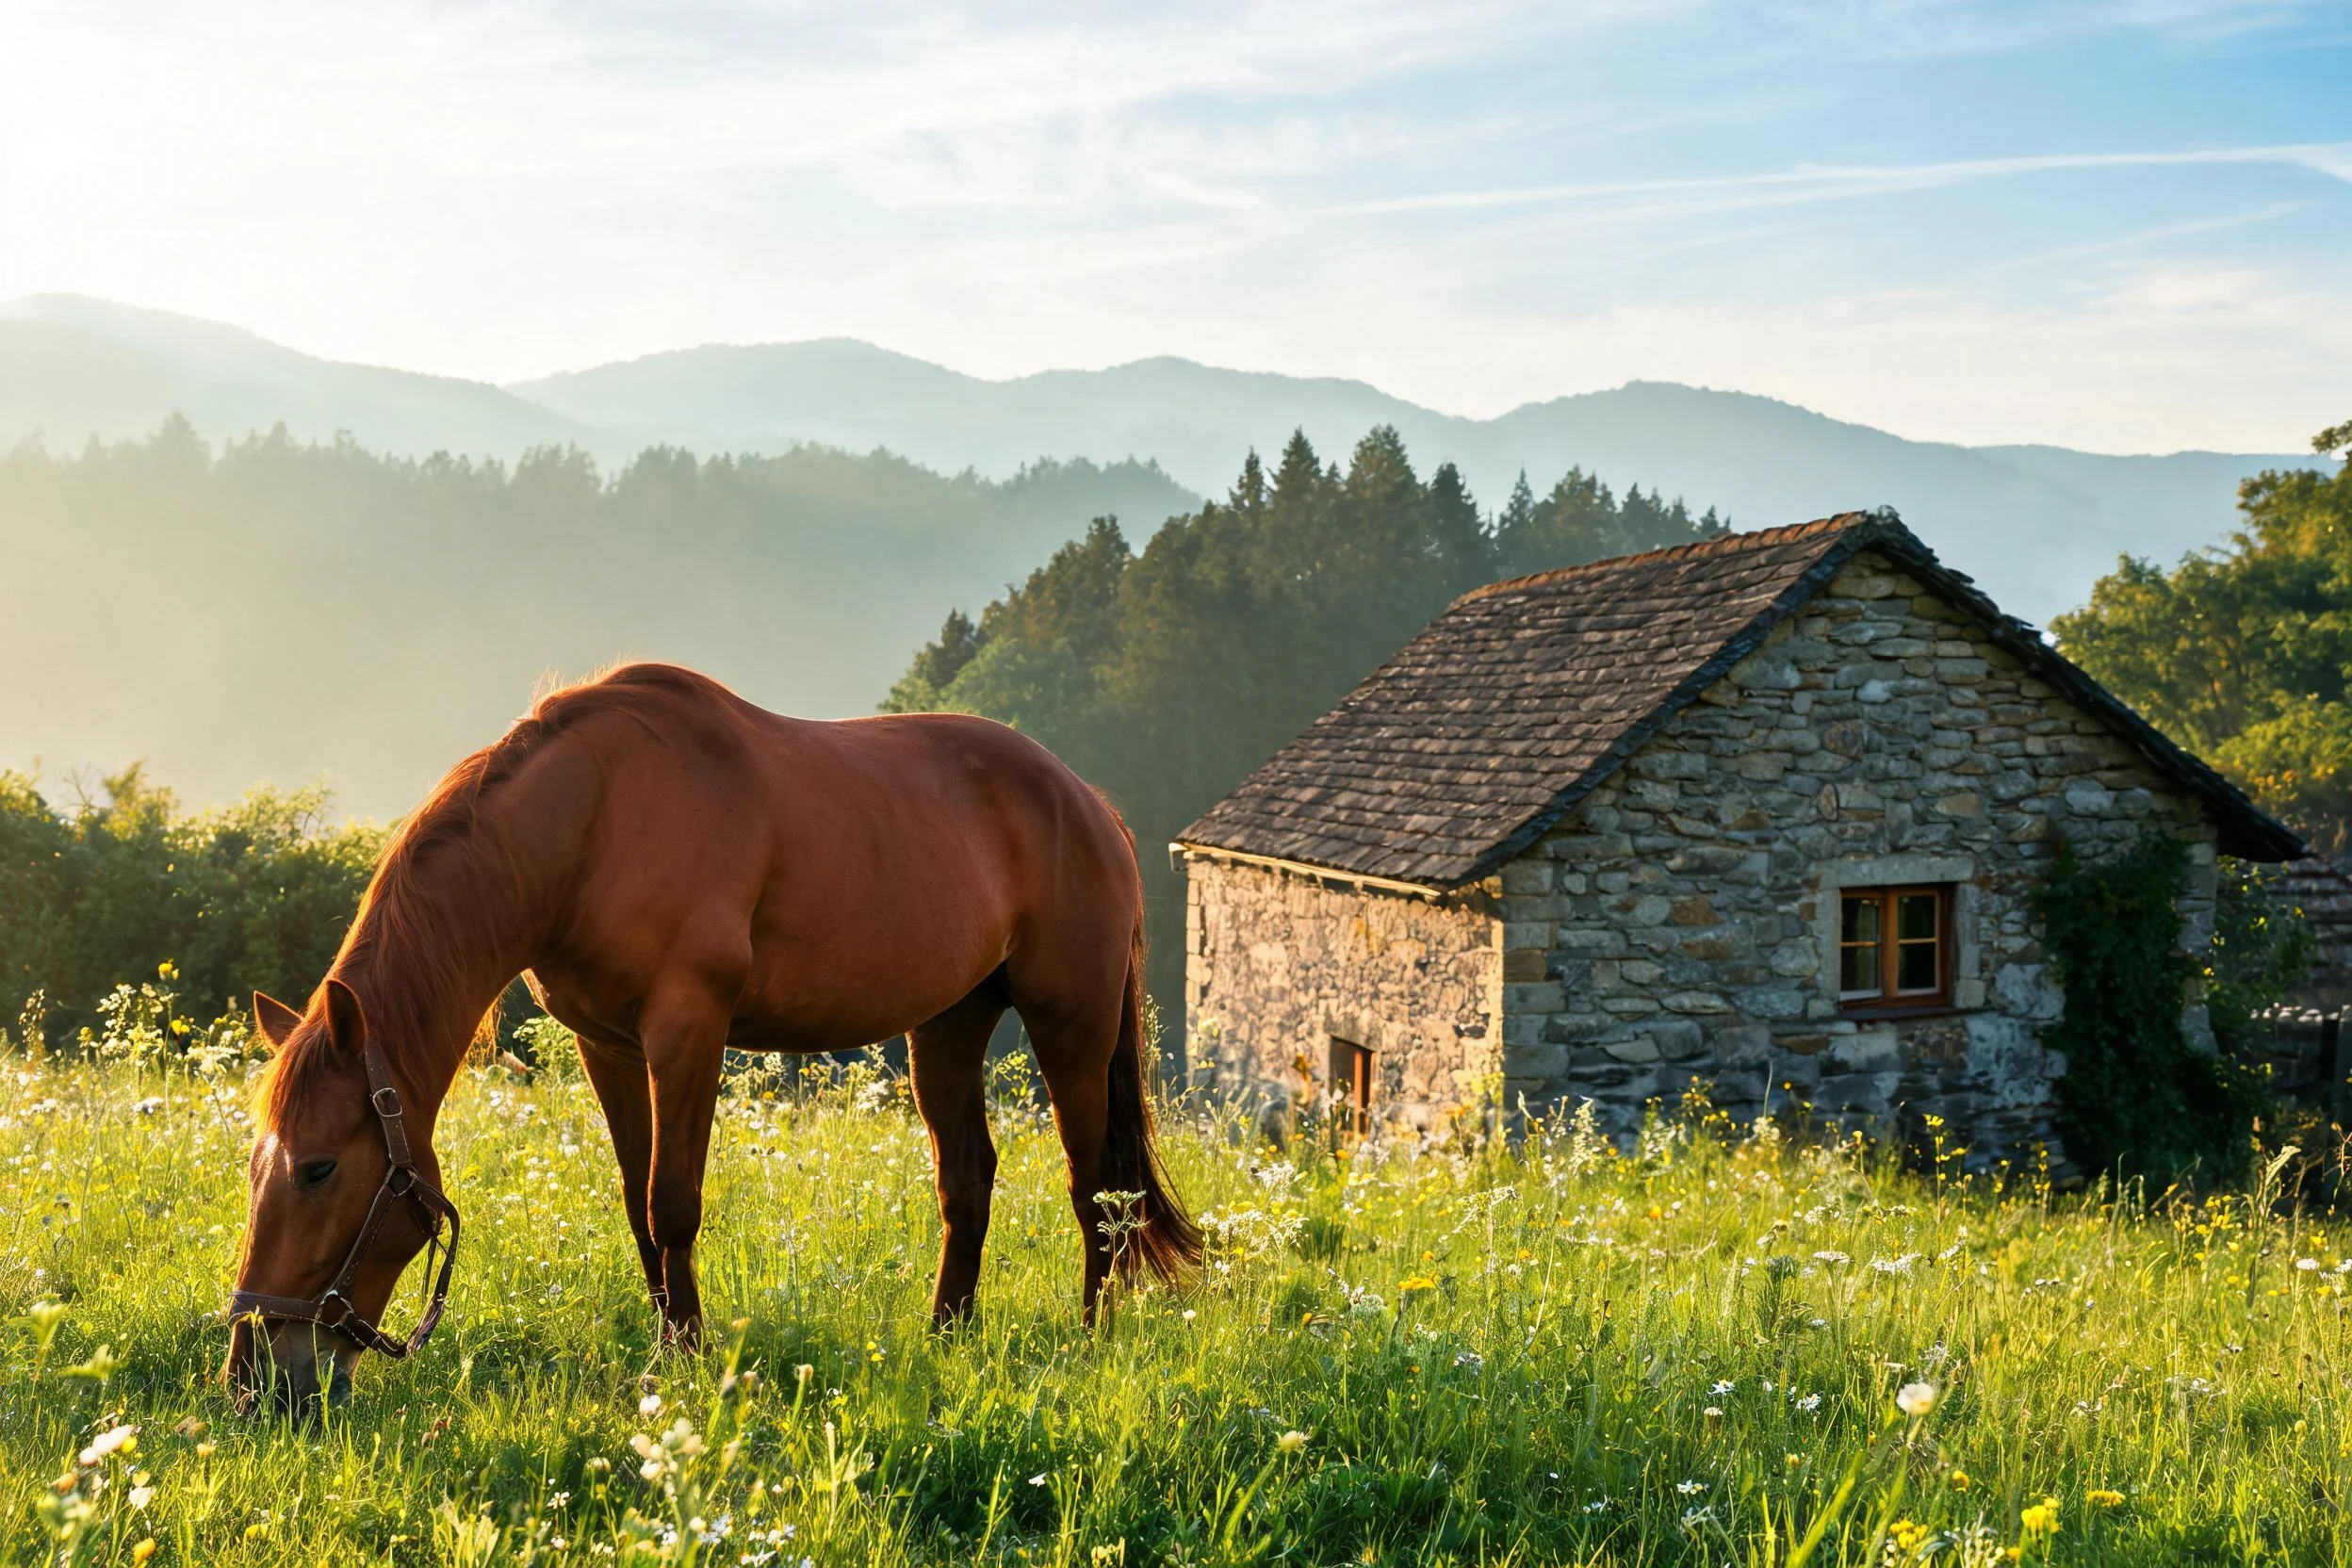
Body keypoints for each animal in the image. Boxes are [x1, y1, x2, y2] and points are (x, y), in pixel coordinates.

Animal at [223, 663, 1199, 1413]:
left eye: (319, 1168)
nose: (252, 1377)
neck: (591, 822)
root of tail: (1086, 801)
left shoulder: (687, 1029)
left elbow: (673, 1203)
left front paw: (684, 1361)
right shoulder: (608, 1045)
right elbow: (636, 1203)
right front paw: (669, 1345)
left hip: (1070, 1022)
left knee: (1097, 1189)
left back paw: (1089, 1341)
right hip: (949, 1026)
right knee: (967, 1180)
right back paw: (946, 1338)